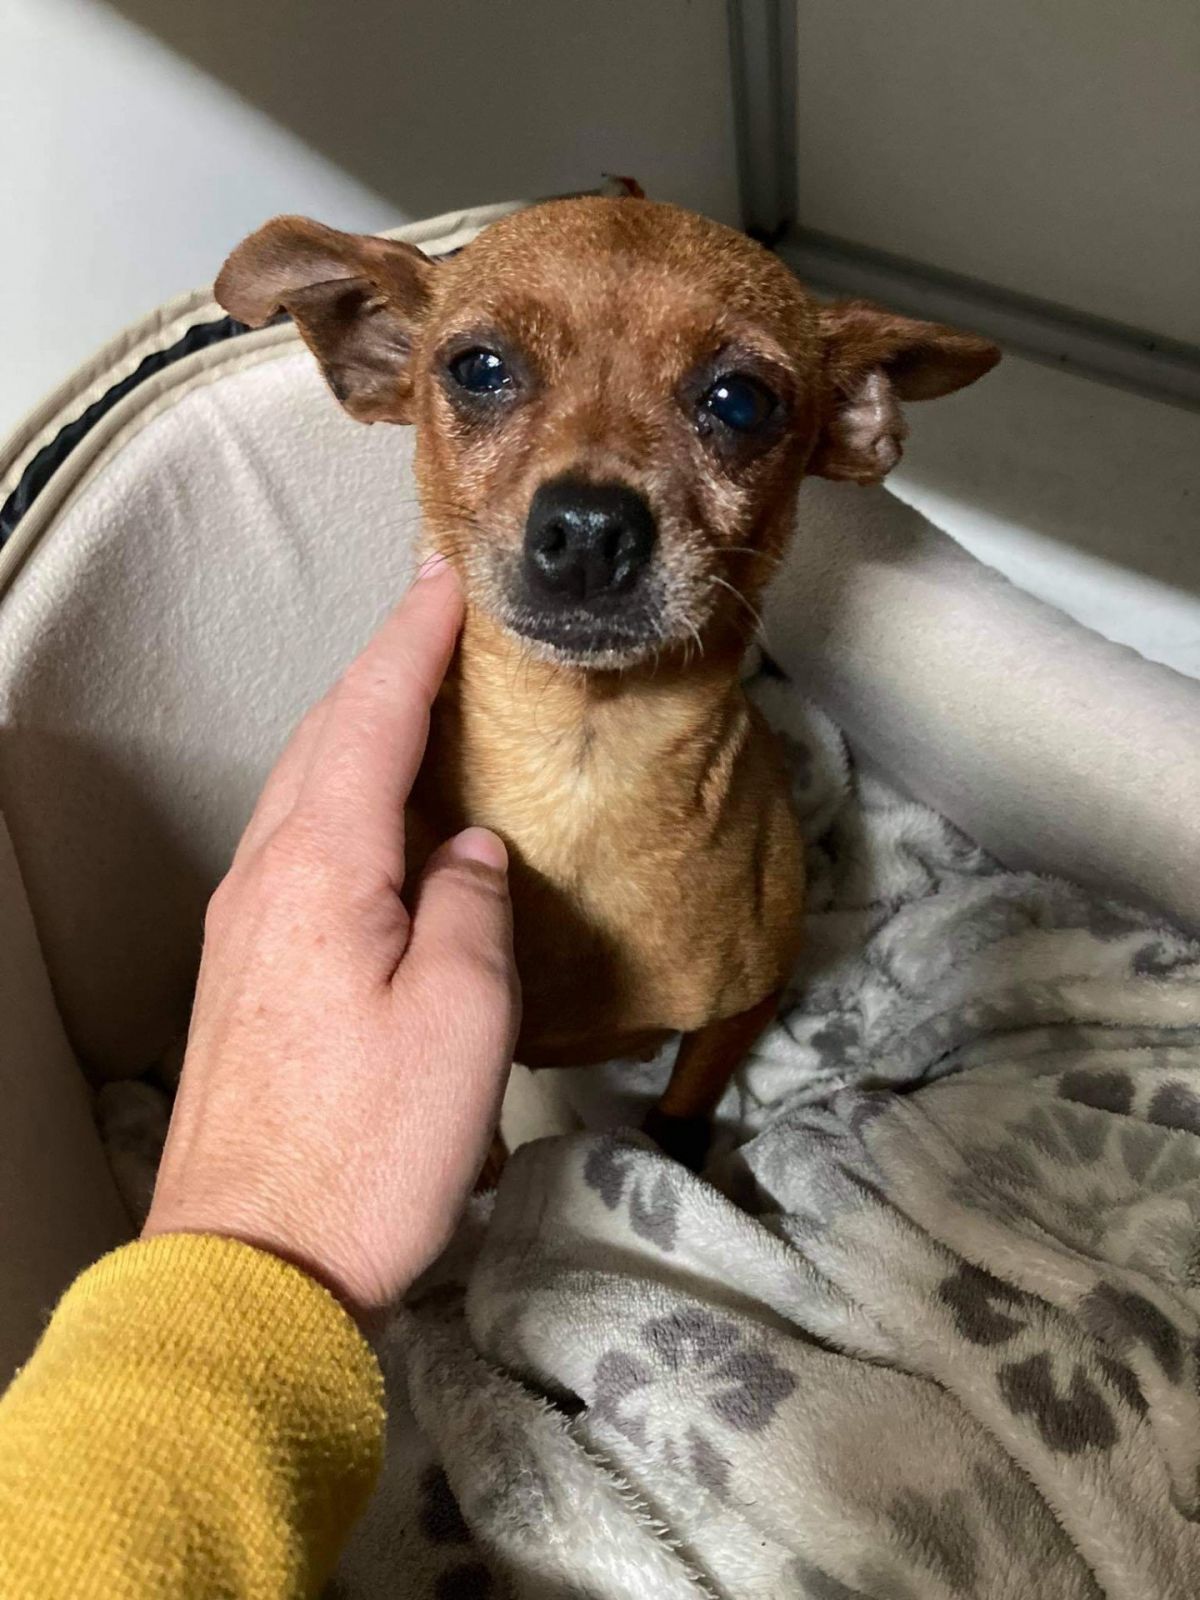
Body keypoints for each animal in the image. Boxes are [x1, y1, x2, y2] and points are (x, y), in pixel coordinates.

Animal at [215, 196, 999, 1166]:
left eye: (742, 401)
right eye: (478, 369)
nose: (588, 528)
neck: (582, 771)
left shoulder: (740, 1012)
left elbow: (682, 1109)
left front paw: (671, 1160)